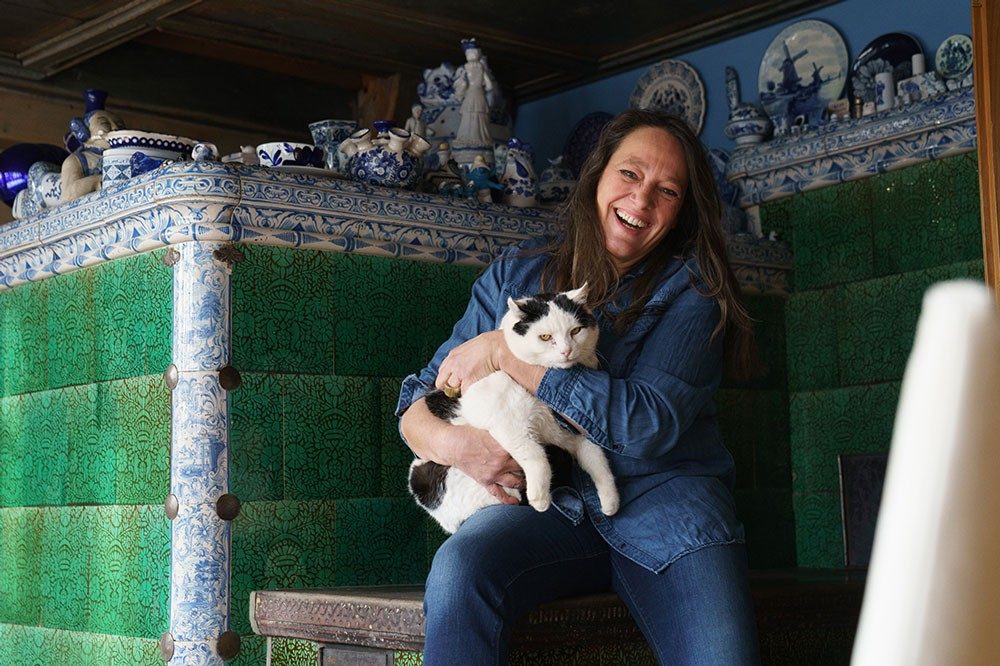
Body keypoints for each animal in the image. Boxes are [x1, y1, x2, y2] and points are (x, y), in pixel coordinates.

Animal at [406, 282, 616, 532]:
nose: (566, 351)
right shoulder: (508, 426)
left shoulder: (570, 431)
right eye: (545, 337)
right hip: (425, 473)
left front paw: (611, 501)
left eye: (575, 331)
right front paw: (540, 497)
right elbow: (536, 456)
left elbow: (597, 457)